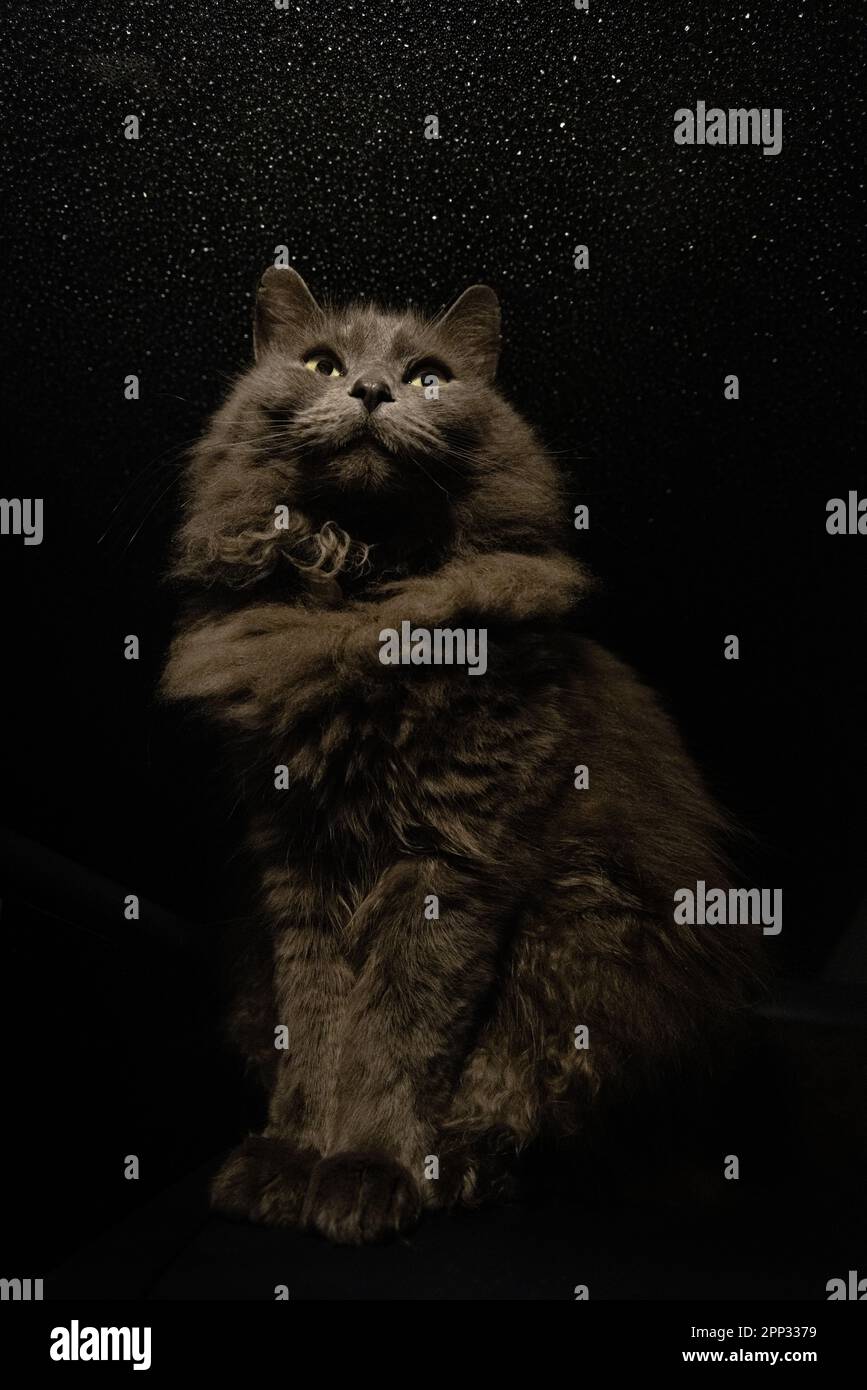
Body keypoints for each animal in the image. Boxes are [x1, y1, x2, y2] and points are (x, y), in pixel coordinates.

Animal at [159, 265, 761, 1245]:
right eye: (322, 365)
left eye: (429, 378)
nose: (371, 391)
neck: (360, 604)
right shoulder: (298, 865)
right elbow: (314, 1026)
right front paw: (292, 1156)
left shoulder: (450, 860)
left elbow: (398, 1032)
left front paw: (366, 1170)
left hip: (585, 933)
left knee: (516, 1102)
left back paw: (457, 1170)